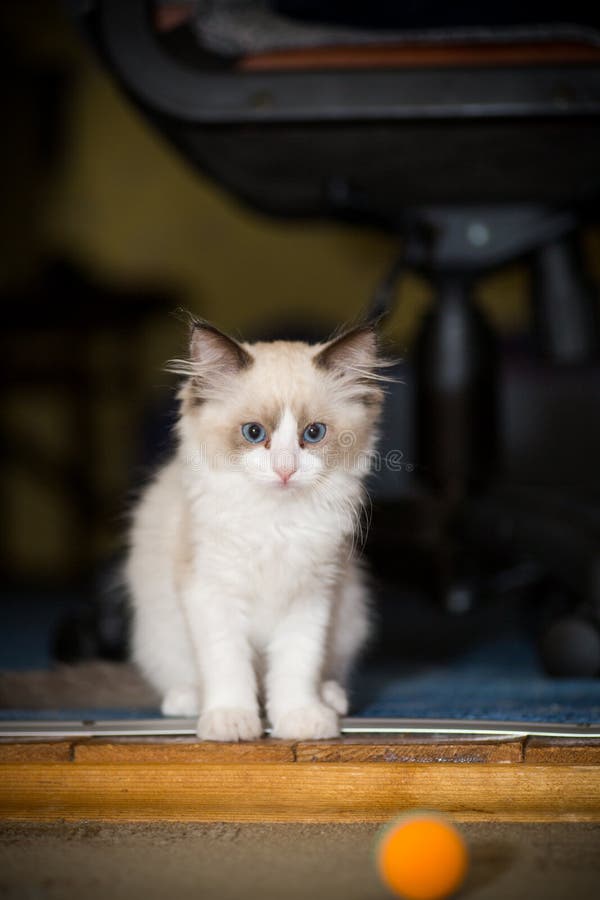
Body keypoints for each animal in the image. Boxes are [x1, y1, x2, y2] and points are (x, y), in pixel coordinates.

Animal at [127, 316, 390, 740]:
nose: (285, 469)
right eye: (254, 433)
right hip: (159, 633)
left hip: (350, 615)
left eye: (313, 433)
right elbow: (228, 666)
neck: (276, 523)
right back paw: (188, 700)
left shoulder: (311, 596)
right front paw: (231, 720)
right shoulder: (212, 593)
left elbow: (296, 667)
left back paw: (330, 698)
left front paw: (301, 719)